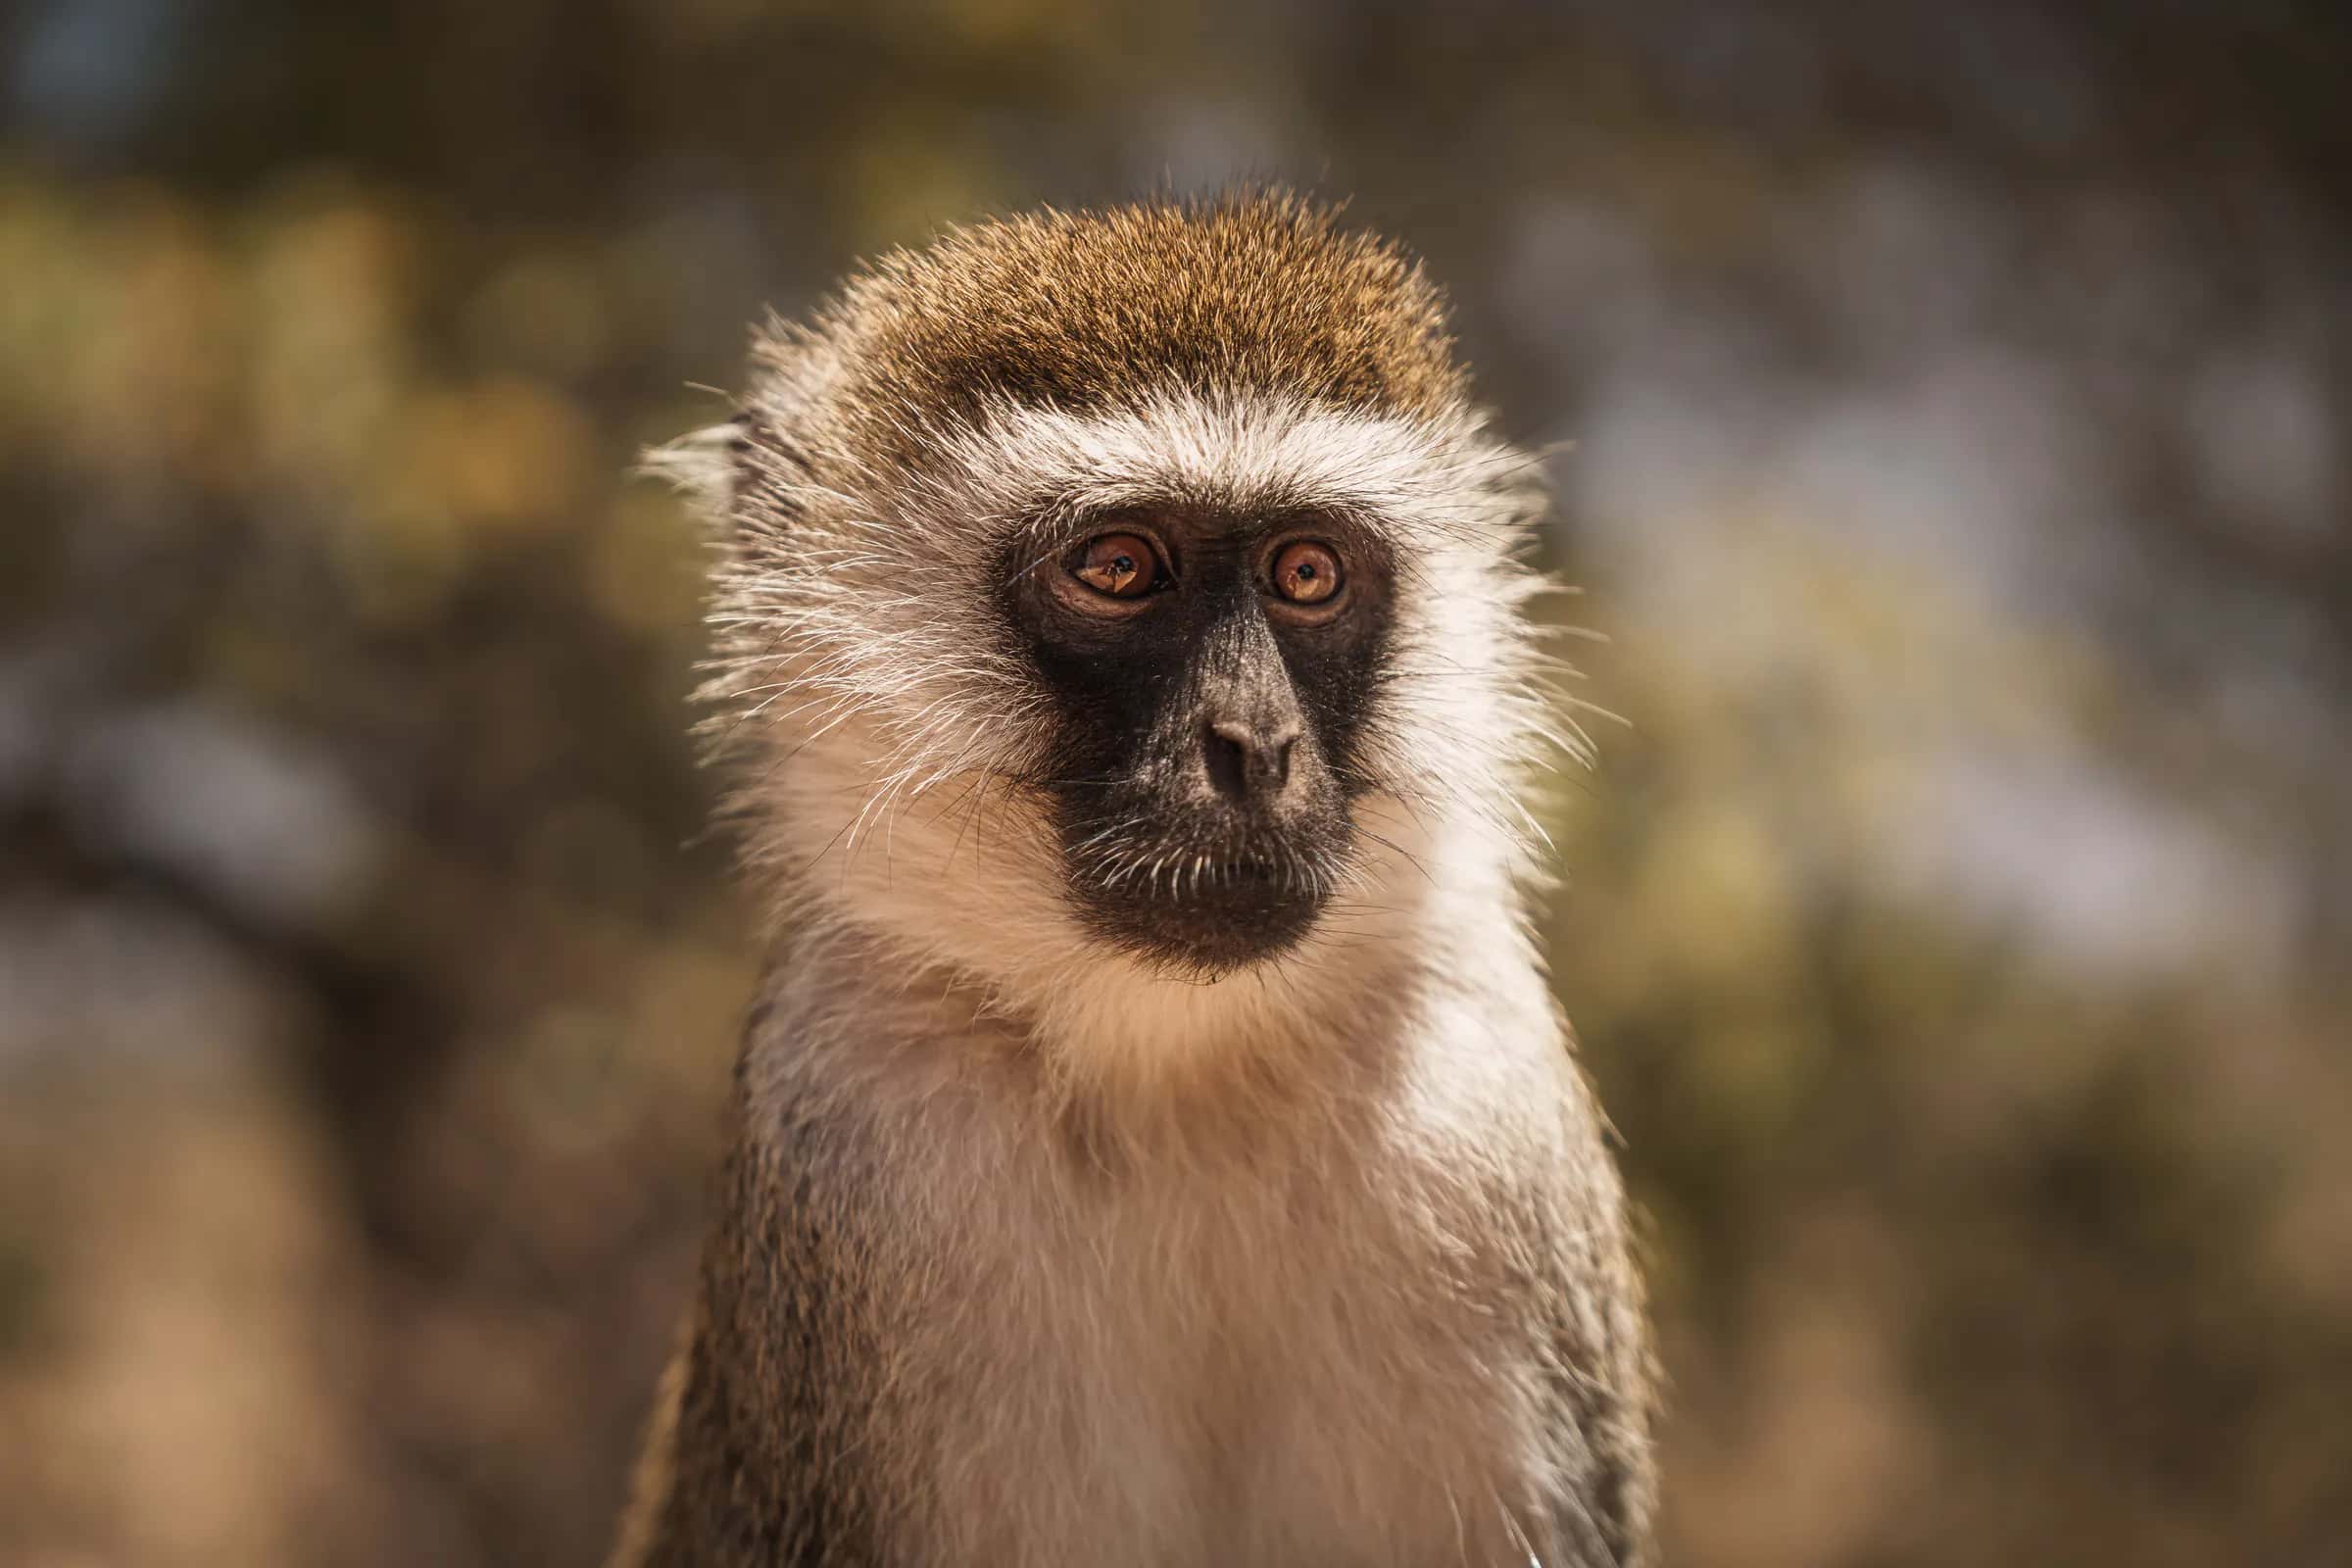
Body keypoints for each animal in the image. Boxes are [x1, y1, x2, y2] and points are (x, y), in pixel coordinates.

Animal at [612, 192, 1655, 1568]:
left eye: (1307, 575)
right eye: (1117, 568)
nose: (1255, 745)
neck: (1173, 1069)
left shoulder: (1482, 1113)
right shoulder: (854, 1116)